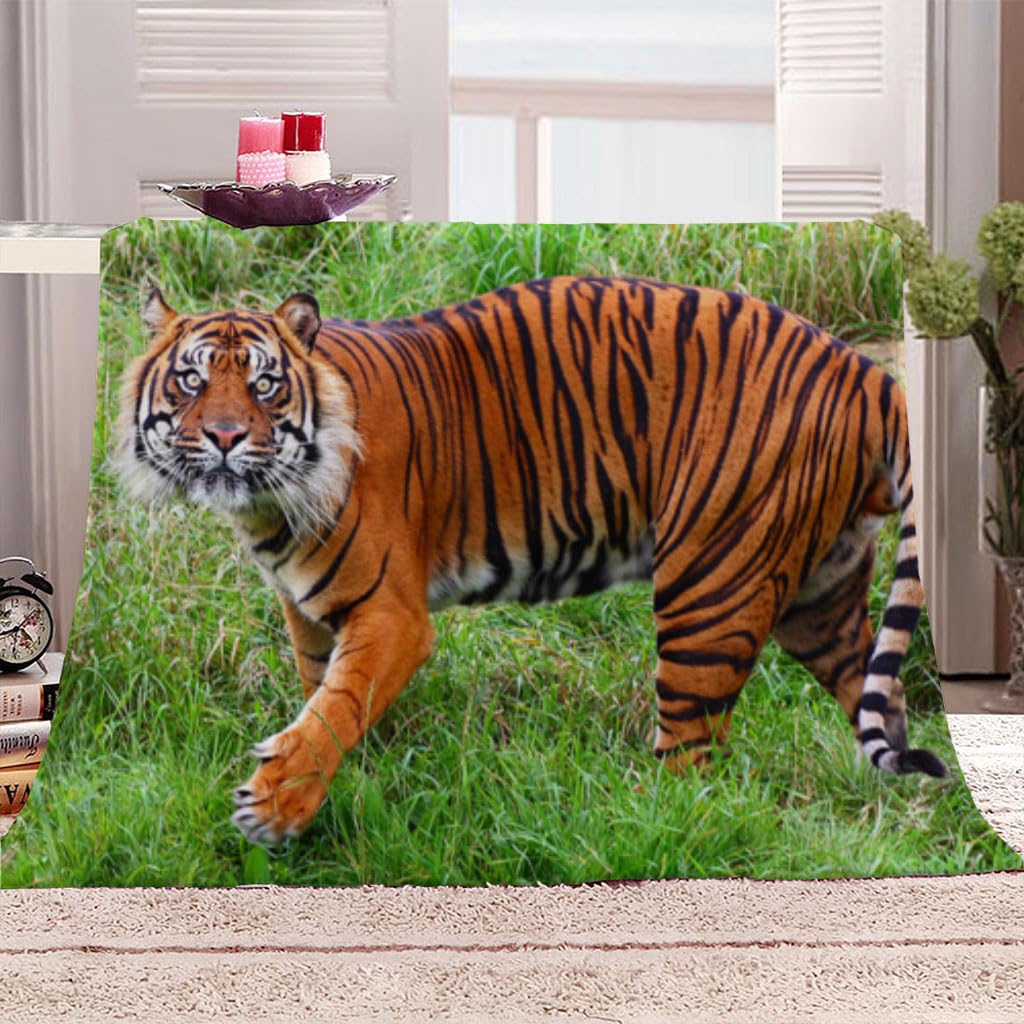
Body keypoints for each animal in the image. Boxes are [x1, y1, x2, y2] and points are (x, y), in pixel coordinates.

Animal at [116, 276, 947, 846]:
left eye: (263, 384)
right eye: (192, 379)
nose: (225, 437)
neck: (271, 507)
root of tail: (868, 371)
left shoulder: (390, 614)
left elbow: (335, 707)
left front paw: (277, 805)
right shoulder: (312, 614)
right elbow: (327, 696)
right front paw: (356, 782)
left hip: (712, 583)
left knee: (692, 761)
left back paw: (630, 826)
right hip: (819, 595)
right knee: (883, 701)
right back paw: (910, 815)